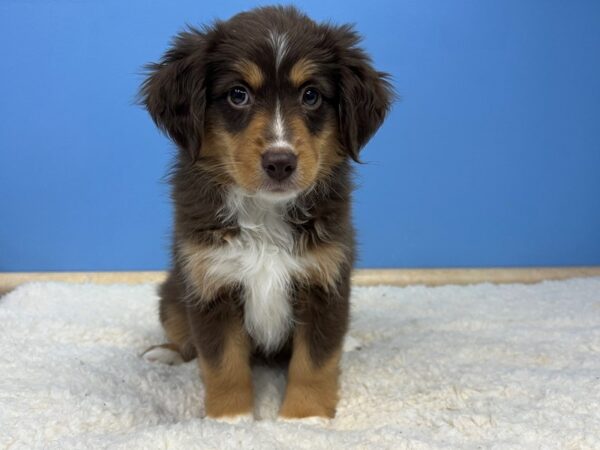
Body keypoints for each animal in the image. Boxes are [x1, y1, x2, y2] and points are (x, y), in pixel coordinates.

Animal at [141, 5, 394, 420]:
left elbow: (316, 360)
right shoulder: (211, 282)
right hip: (173, 292)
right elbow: (222, 363)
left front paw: (304, 418)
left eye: (311, 95)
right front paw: (231, 420)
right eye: (238, 94)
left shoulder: (324, 281)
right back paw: (165, 354)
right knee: (182, 334)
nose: (280, 162)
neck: (264, 212)